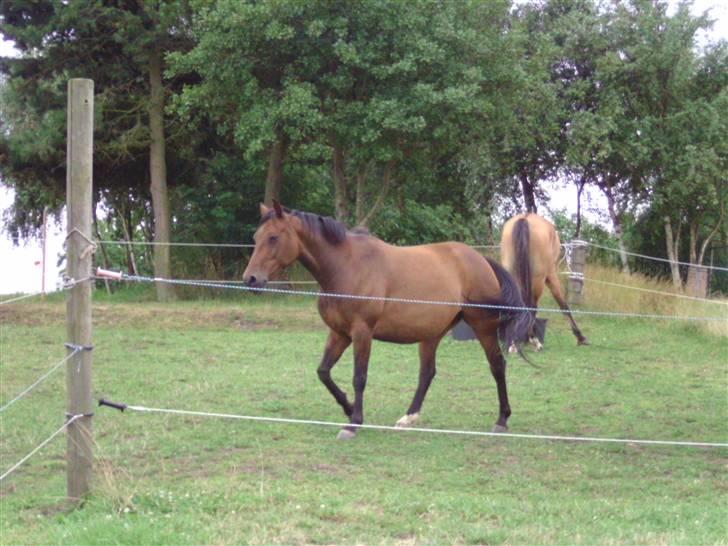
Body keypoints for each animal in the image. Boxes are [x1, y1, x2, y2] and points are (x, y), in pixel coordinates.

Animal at [242, 203, 532, 438]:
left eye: (274, 237)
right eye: (256, 237)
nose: (250, 279)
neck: (346, 267)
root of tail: (480, 258)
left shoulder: (362, 332)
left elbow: (359, 377)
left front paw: (354, 423)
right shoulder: (339, 333)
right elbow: (323, 372)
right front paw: (348, 408)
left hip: (483, 326)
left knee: (497, 365)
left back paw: (502, 419)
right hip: (432, 333)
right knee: (427, 373)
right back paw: (409, 417)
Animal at [500, 212, 584, 348]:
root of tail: (525, 218)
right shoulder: (550, 275)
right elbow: (562, 302)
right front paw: (580, 336)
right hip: (538, 280)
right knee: (532, 306)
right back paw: (534, 340)